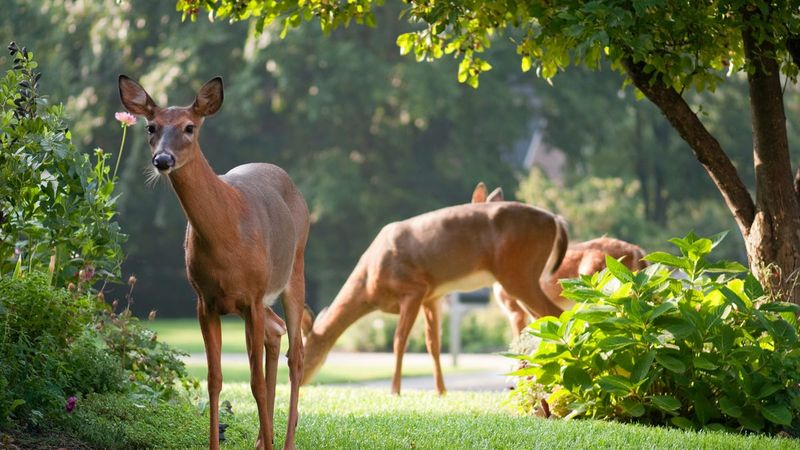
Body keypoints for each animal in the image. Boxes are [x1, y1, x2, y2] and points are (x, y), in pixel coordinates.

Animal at [119, 77, 310, 450]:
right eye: (151, 126)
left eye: (189, 127)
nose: (162, 159)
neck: (227, 236)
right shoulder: (204, 300)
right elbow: (215, 379)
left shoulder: (253, 295)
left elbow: (253, 381)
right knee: (276, 331)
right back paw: (261, 438)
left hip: (293, 269)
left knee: (296, 353)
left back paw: (284, 441)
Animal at [300, 192, 568, 396]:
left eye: (303, 352)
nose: (299, 382)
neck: (369, 284)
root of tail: (555, 219)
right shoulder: (433, 297)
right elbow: (434, 344)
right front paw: (441, 391)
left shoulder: (413, 289)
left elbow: (399, 341)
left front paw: (395, 390)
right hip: (521, 276)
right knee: (542, 321)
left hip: (517, 272)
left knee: (556, 314)